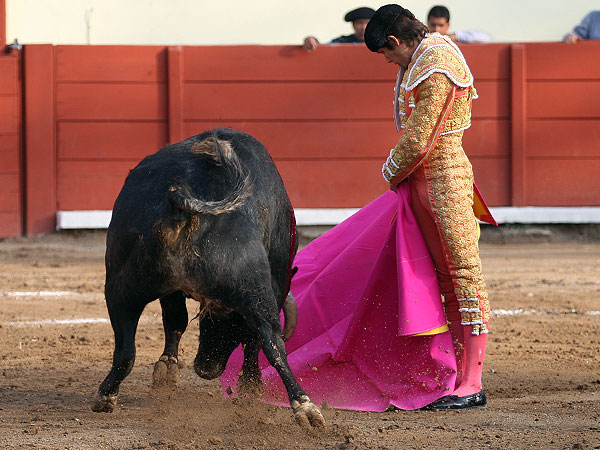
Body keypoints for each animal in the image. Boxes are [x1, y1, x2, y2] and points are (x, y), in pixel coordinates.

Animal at [94, 128, 326, 428]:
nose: (207, 369)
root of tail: (184, 198)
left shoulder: (173, 290)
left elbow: (175, 321)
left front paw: (167, 371)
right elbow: (252, 338)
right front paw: (250, 386)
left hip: (121, 289)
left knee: (125, 350)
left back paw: (107, 395)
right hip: (253, 289)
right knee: (271, 340)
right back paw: (301, 406)